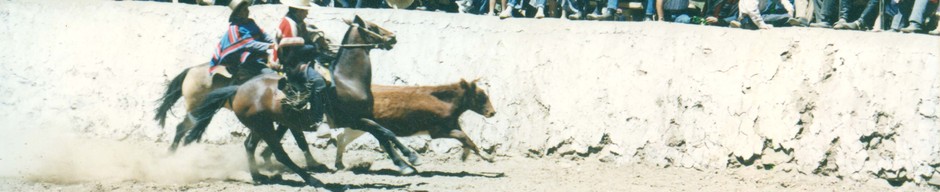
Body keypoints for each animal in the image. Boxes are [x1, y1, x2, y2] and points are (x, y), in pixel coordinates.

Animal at [182, 15, 416, 186]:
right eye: (373, 27)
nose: (392, 37)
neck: (347, 80)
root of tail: (238, 88)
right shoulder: (351, 119)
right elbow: (383, 132)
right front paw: (409, 159)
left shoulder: (360, 118)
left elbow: (384, 134)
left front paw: (405, 162)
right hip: (264, 126)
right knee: (280, 153)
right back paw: (312, 179)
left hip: (260, 124)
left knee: (249, 145)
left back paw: (259, 177)